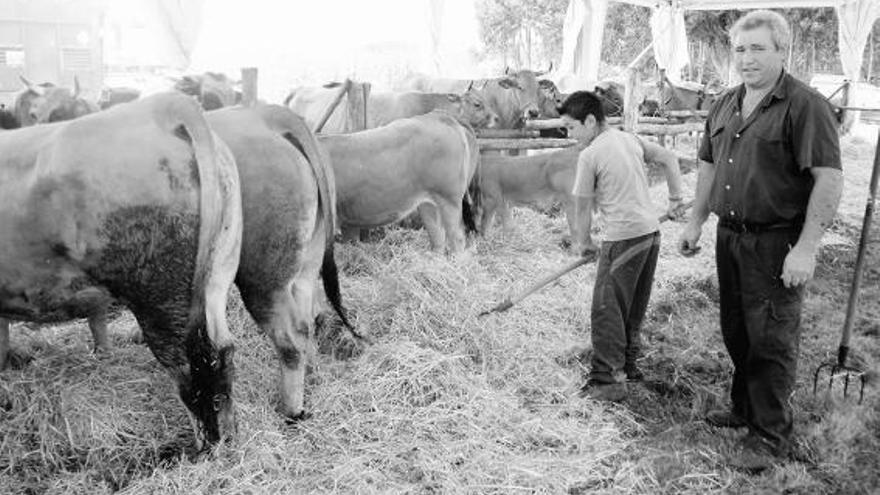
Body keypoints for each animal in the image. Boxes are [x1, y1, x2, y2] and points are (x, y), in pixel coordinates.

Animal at [0, 91, 242, 452]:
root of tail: (163, 105)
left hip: (160, 299)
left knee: (190, 364)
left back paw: (204, 449)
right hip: (216, 277)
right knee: (222, 351)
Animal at [205, 104, 356, 422]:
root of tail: (274, 117)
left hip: (262, 280)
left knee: (291, 336)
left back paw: (291, 410)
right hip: (306, 264)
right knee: (307, 320)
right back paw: (312, 375)